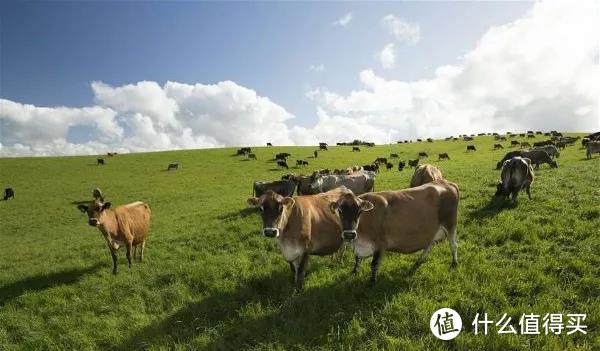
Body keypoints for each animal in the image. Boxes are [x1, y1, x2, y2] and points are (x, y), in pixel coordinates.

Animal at [330, 182, 462, 286]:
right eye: (340, 211)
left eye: (359, 211)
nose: (349, 235)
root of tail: (447, 183)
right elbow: (357, 259)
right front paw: (354, 272)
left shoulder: (380, 245)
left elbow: (374, 264)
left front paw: (372, 282)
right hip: (432, 230)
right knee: (429, 246)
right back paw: (417, 262)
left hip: (450, 224)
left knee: (453, 245)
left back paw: (454, 263)